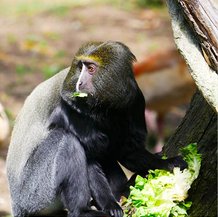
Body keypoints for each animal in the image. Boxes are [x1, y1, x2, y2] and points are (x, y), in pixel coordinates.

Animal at [5, 41, 186, 217]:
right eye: (81, 67)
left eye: (90, 68)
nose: (79, 83)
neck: (104, 105)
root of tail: (16, 204)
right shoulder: (68, 106)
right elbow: (90, 156)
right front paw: (110, 204)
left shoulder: (135, 98)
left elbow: (129, 151)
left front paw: (167, 163)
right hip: (33, 193)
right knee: (68, 141)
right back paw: (82, 211)